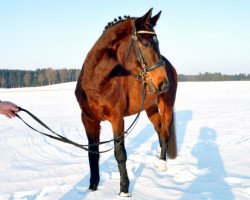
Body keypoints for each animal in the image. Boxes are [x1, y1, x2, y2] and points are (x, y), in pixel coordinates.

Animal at [74, 8, 178, 196]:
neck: (97, 81)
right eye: (146, 43)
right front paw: (92, 187)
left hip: (166, 103)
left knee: (165, 132)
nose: (163, 83)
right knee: (159, 130)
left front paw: (124, 190)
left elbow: (119, 153)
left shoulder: (117, 118)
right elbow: (93, 153)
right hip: (150, 107)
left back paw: (162, 164)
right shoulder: (88, 120)